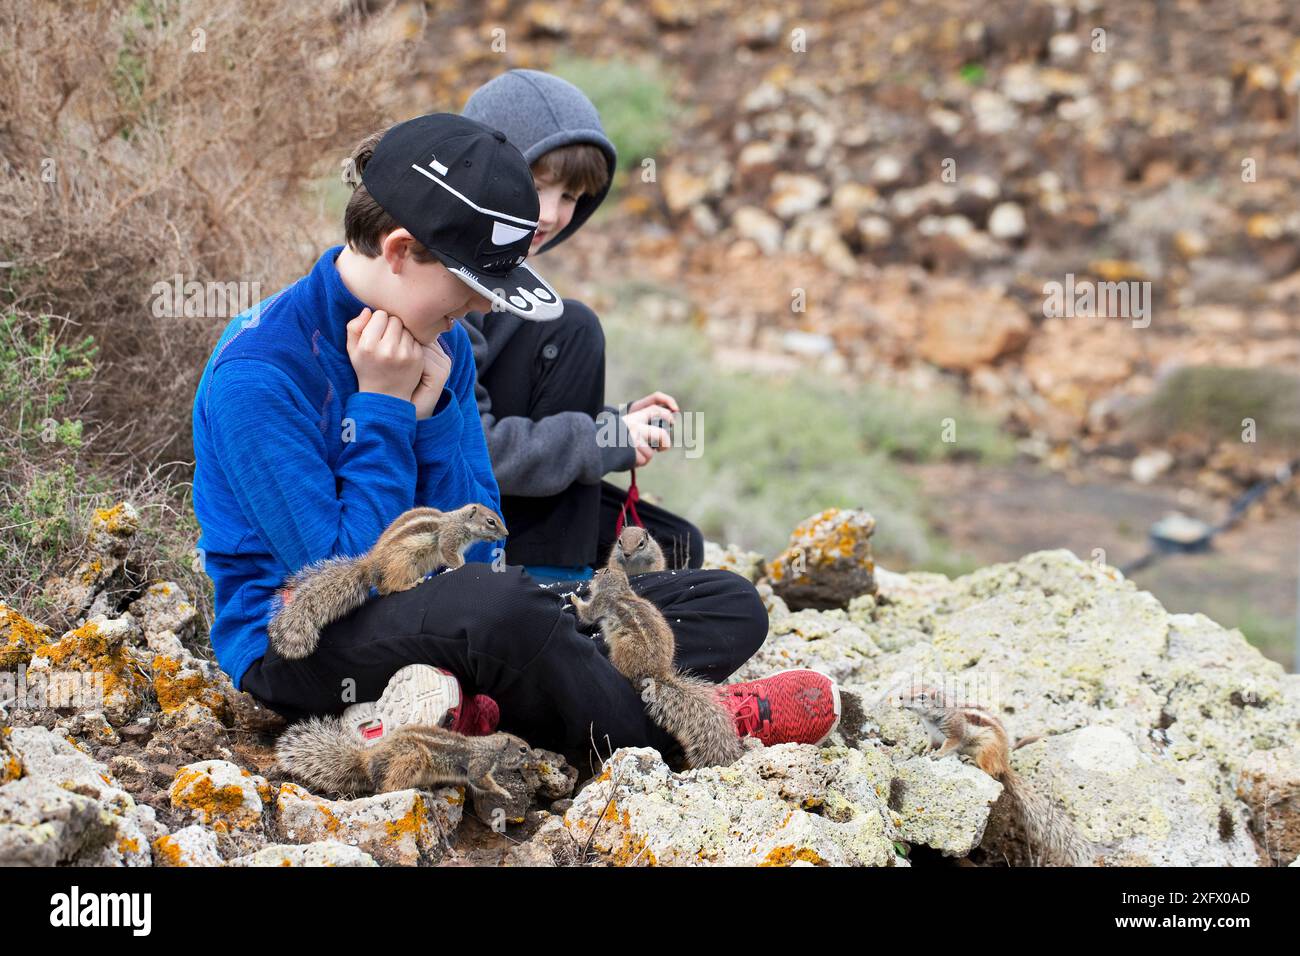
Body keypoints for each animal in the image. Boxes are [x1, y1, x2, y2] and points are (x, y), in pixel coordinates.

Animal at [266, 504, 504, 660]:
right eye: (491, 521)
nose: (506, 533)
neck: (459, 521)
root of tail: (371, 566)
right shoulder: (449, 541)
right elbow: (453, 557)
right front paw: (456, 568)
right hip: (402, 562)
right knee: (388, 585)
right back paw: (409, 584)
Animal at [569, 530, 743, 770]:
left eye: (604, 571)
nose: (593, 573)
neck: (621, 591)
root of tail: (655, 673)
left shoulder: (600, 603)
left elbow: (587, 614)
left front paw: (574, 598)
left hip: (623, 649)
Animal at [894, 686, 1097, 868]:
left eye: (922, 696)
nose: (900, 697)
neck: (933, 718)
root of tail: (1004, 763)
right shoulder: (932, 735)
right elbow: (930, 743)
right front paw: (924, 752)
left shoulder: (955, 731)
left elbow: (950, 744)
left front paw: (938, 755)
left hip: (986, 750)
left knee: (989, 770)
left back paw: (971, 760)